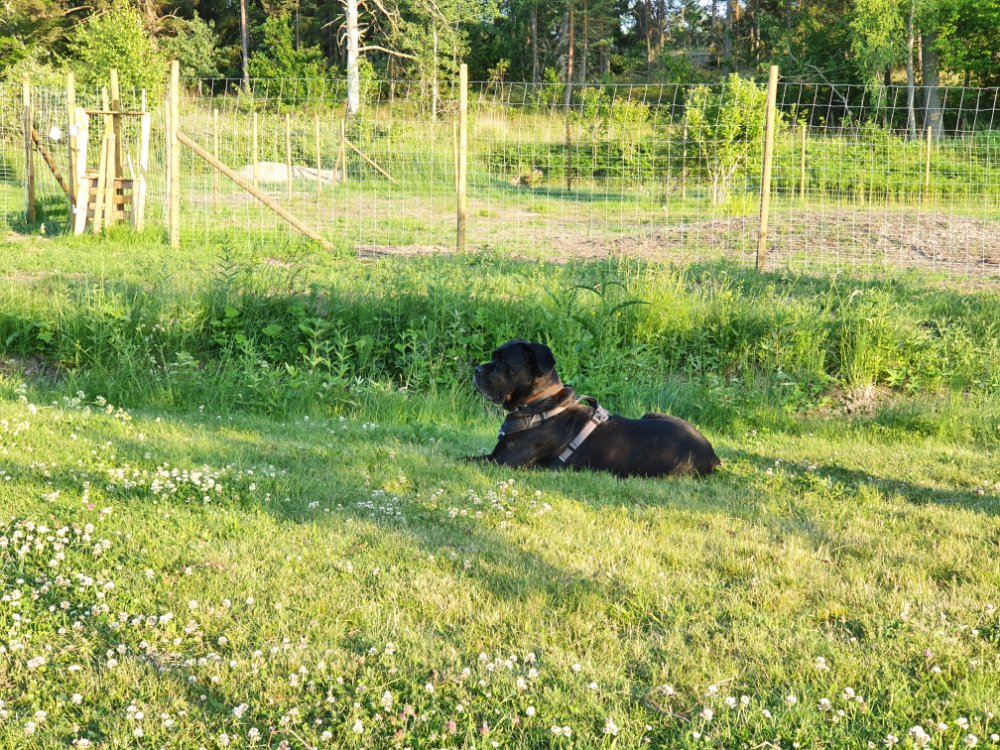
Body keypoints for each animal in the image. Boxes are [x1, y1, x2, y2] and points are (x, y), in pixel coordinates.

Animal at [471, 339, 721, 478]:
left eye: (501, 362)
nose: (476, 370)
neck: (540, 404)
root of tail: (713, 455)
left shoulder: (501, 461)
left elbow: (465, 458)